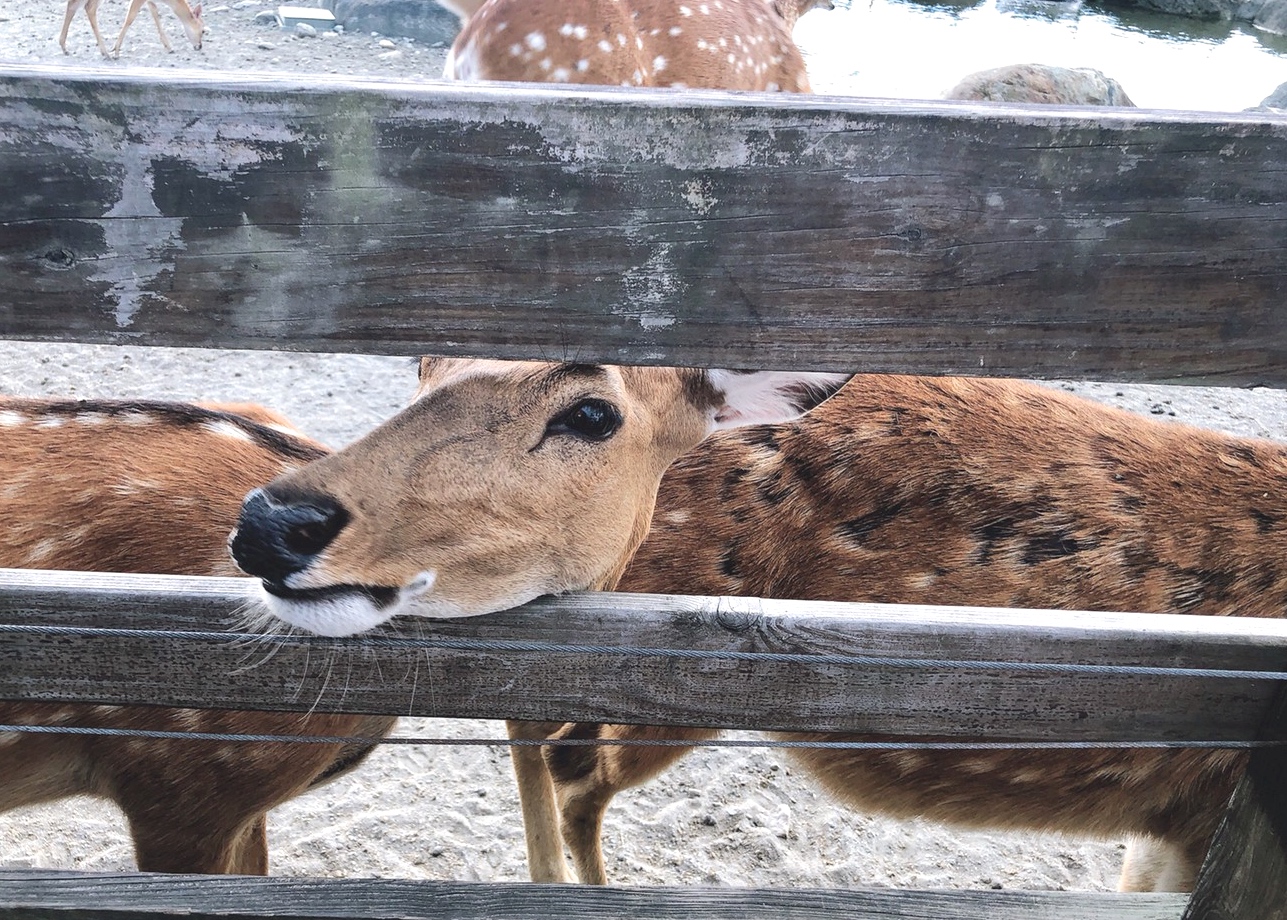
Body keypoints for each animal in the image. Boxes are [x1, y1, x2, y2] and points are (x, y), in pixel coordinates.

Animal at [59, 0, 204, 58]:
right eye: (203, 30)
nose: (199, 46)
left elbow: (154, 12)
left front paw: (169, 47)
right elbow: (130, 17)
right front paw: (116, 50)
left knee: (73, 4)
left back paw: (64, 47)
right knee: (89, 7)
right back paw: (105, 52)